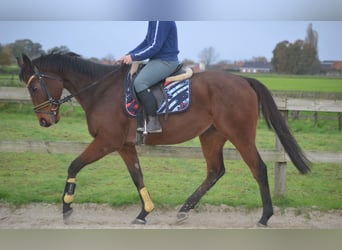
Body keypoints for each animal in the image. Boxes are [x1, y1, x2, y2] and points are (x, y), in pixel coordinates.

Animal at [17, 51, 310, 226]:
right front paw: (144, 212)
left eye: (35, 86)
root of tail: (244, 80)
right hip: (211, 136)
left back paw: (265, 216)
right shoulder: (124, 146)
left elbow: (74, 165)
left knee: (258, 168)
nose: (44, 121)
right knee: (215, 171)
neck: (100, 90)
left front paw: (66, 207)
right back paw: (184, 209)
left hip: (240, 135)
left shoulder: (106, 142)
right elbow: (137, 176)